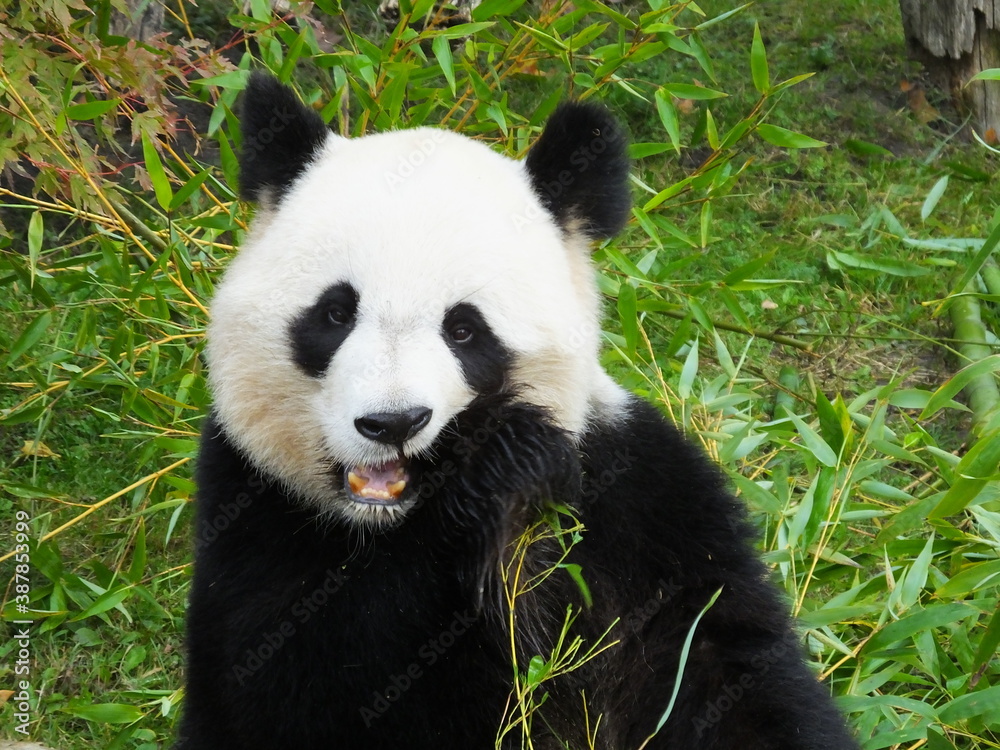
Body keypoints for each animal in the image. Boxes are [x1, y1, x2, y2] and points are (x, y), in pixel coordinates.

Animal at [174, 72, 858, 750]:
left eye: (465, 330)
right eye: (336, 313)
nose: (393, 424)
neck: (394, 521)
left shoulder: (642, 507)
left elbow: (722, 670)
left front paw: (508, 471)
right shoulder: (253, 511)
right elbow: (301, 686)